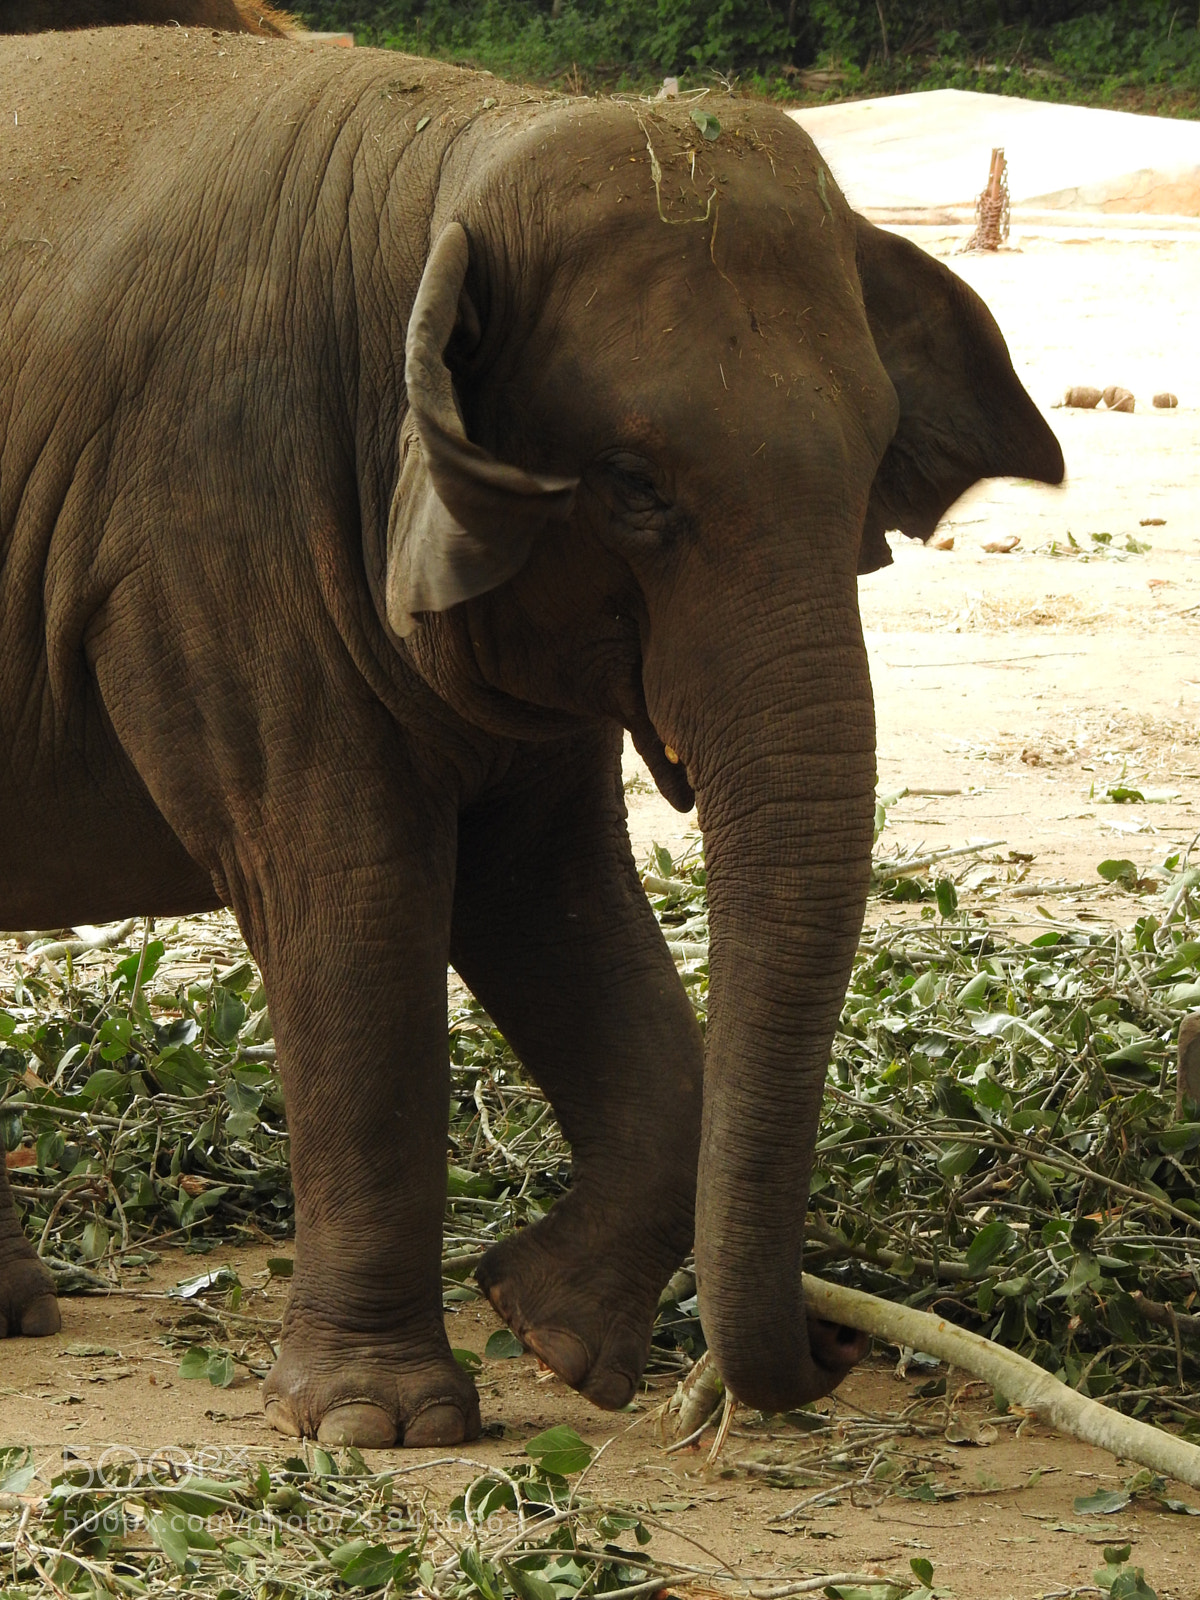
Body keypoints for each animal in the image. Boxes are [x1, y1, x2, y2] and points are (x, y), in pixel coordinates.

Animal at [0, 24, 1064, 1446]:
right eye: (631, 486)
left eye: (875, 464)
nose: (841, 1343)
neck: (445, 157)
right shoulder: (207, 536)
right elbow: (356, 899)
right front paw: (382, 1424)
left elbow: (545, 897)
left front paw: (551, 1334)